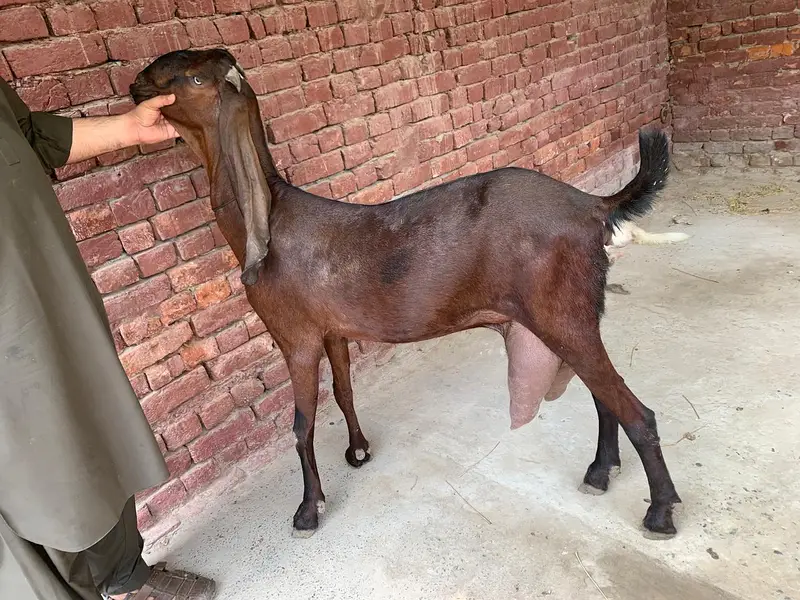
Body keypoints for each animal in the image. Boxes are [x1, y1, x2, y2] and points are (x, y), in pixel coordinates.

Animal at [131, 49, 682, 540]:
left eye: (194, 78)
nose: (137, 83)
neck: (271, 216)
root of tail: (593, 206)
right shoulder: (333, 331)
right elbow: (344, 391)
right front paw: (357, 452)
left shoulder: (296, 338)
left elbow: (302, 425)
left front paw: (308, 510)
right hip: (571, 316)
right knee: (604, 396)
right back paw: (599, 472)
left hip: (561, 315)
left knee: (637, 412)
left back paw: (659, 512)